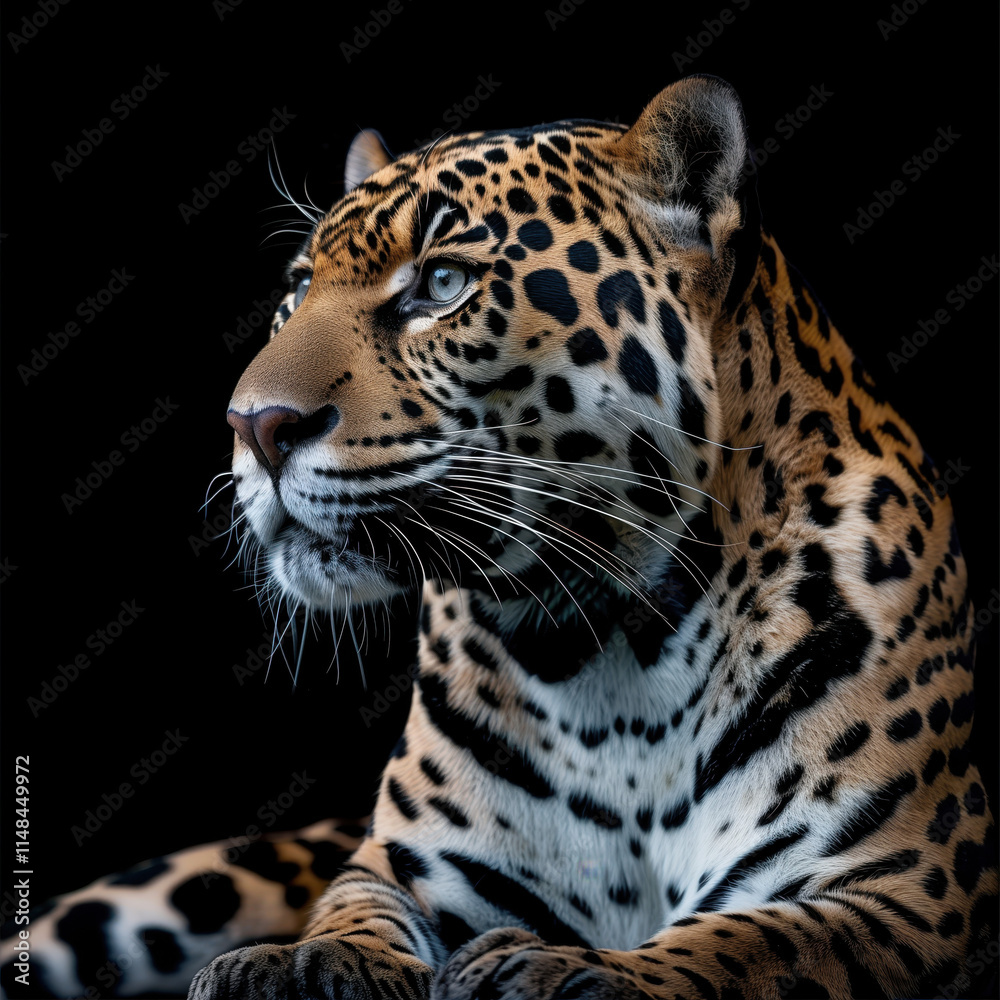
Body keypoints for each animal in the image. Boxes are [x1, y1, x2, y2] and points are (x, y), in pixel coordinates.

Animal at [2, 75, 995, 1000]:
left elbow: (752, 945)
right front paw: (303, 962)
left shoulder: (901, 889)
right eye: (298, 289)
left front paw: (574, 970)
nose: (254, 426)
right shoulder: (405, 866)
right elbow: (354, 913)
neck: (613, 652)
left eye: (442, 284)